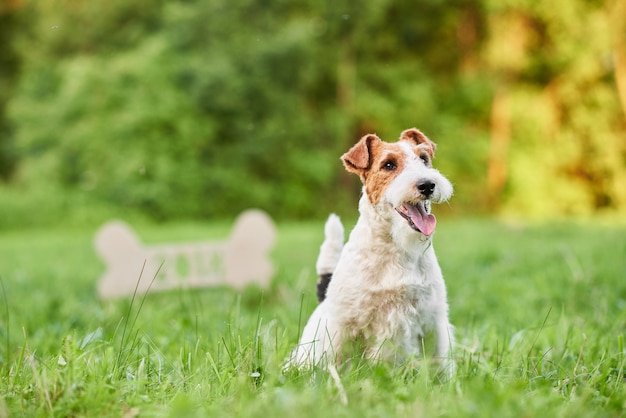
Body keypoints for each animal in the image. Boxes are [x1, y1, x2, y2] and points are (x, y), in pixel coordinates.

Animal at [288, 127, 454, 376]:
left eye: (424, 158)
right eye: (389, 165)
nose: (427, 185)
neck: (396, 247)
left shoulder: (433, 321)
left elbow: (438, 365)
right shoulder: (341, 325)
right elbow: (334, 361)